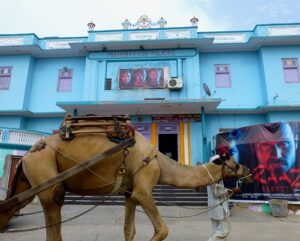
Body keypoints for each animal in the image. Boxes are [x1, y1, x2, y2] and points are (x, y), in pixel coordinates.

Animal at [0, 119, 252, 241]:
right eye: (233, 161)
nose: (249, 170)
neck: (160, 162)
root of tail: (29, 152)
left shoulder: (130, 193)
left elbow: (129, 231)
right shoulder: (143, 188)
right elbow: (162, 230)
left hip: (26, 179)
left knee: (13, 205)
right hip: (44, 167)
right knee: (54, 208)